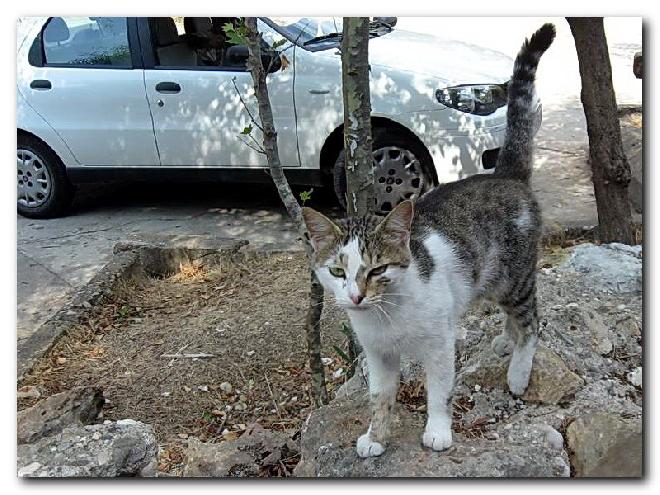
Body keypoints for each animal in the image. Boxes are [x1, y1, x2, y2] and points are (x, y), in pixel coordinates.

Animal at [302, 23, 556, 458]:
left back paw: (518, 371)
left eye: (378, 270)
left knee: (531, 321)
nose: (355, 297)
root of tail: (505, 175)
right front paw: (376, 436)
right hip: (491, 280)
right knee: (514, 318)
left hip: (514, 277)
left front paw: (437, 431)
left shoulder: (439, 344)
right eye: (336, 271)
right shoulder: (378, 356)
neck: (386, 317)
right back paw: (504, 343)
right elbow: (380, 397)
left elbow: (439, 391)